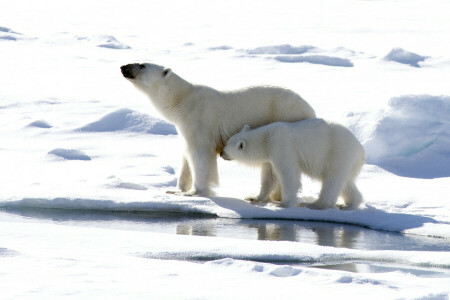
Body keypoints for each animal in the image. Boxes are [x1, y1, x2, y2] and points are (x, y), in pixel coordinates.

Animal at [121, 62, 314, 196]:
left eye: (142, 65)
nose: (123, 67)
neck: (182, 100)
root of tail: (310, 110)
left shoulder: (199, 121)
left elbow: (200, 155)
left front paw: (195, 192)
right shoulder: (184, 127)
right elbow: (185, 156)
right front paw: (176, 190)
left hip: (283, 119)